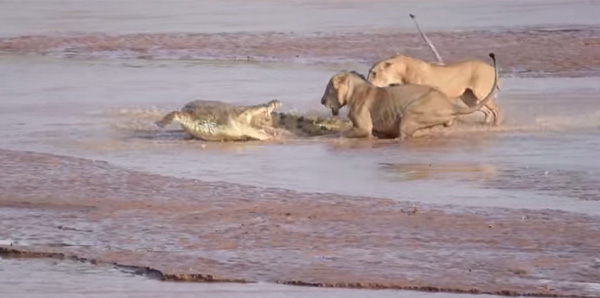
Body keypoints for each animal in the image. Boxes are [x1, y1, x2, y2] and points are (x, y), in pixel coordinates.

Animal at [322, 53, 500, 140]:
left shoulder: (363, 128)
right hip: (469, 98)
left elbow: (346, 132)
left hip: (411, 115)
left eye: (328, 88)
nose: (322, 100)